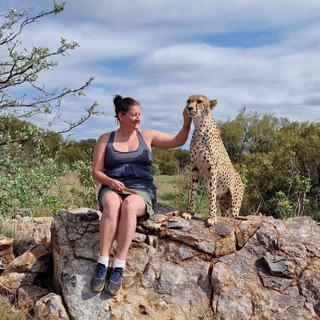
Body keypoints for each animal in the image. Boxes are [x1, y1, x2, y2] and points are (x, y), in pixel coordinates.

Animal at [181, 94, 244, 225]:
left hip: (235, 204)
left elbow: (212, 196)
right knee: (225, 213)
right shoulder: (194, 168)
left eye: (199, 101)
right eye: (188, 101)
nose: (189, 108)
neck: (200, 126)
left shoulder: (212, 169)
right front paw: (189, 213)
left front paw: (212, 217)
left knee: (234, 216)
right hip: (224, 202)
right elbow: (192, 192)